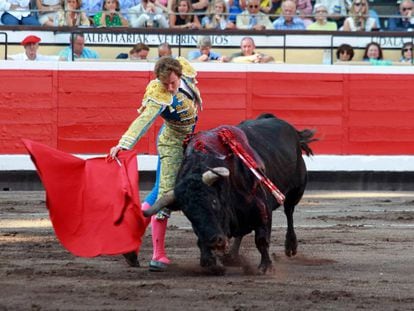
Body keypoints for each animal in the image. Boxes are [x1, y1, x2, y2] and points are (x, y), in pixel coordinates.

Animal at [144, 114, 316, 276]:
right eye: (188, 213)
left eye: (214, 202)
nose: (215, 241)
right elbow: (201, 241)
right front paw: (211, 263)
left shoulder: (262, 208)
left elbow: (261, 239)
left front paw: (265, 267)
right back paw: (231, 256)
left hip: (296, 190)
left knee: (289, 211)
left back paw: (290, 246)